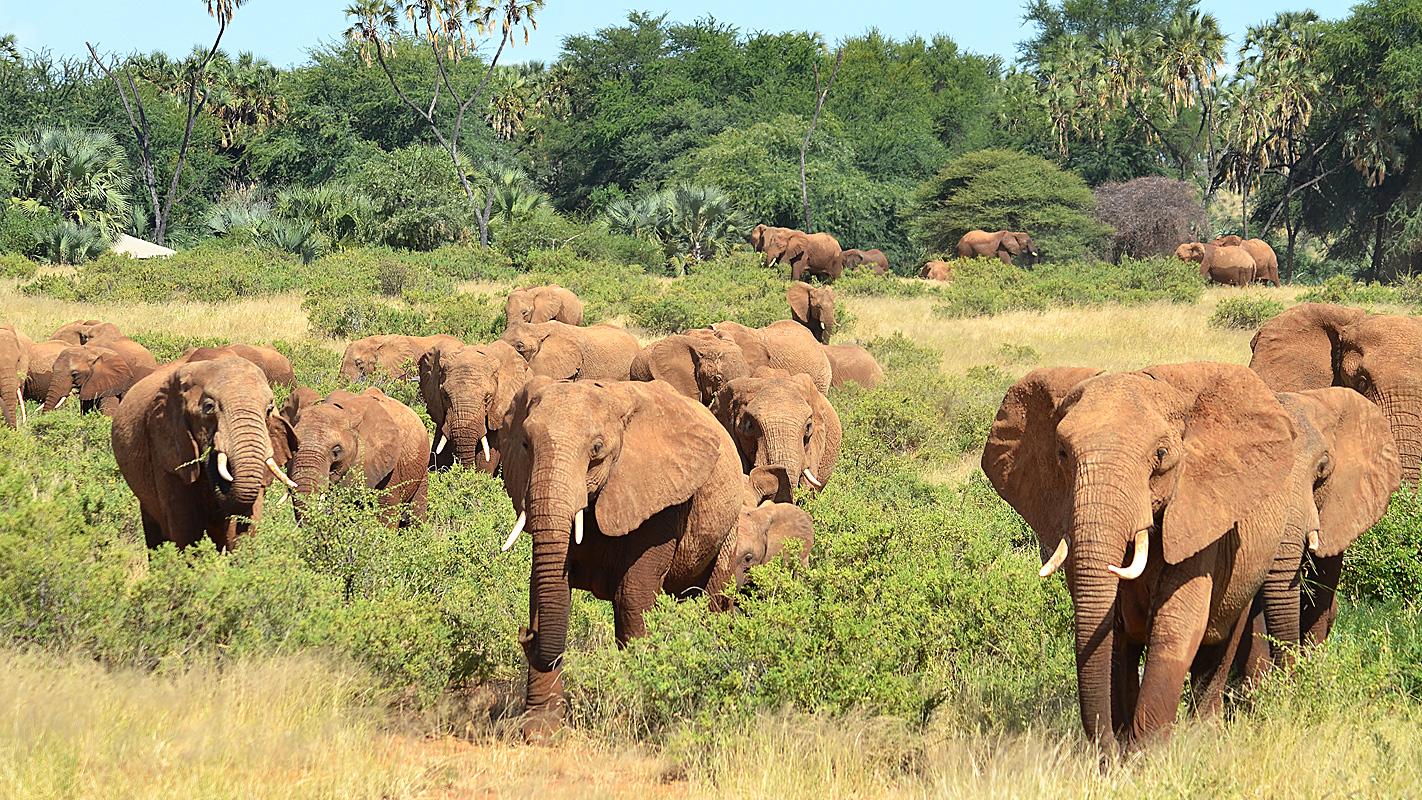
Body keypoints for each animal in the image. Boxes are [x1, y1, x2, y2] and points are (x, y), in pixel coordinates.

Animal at [499, 377, 744, 739]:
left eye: (596, 449)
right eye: (526, 444)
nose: (525, 636)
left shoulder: (660, 495)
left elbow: (632, 596)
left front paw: (629, 718)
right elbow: (544, 591)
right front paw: (539, 731)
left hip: (730, 525)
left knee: (714, 602)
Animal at [982, 362, 1297, 748]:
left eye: (1160, 456)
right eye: (1062, 453)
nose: (1106, 749)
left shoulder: (1199, 514)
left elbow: (1176, 623)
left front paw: (1148, 753)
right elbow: (1114, 634)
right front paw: (1125, 749)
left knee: (1221, 639)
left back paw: (1203, 735)